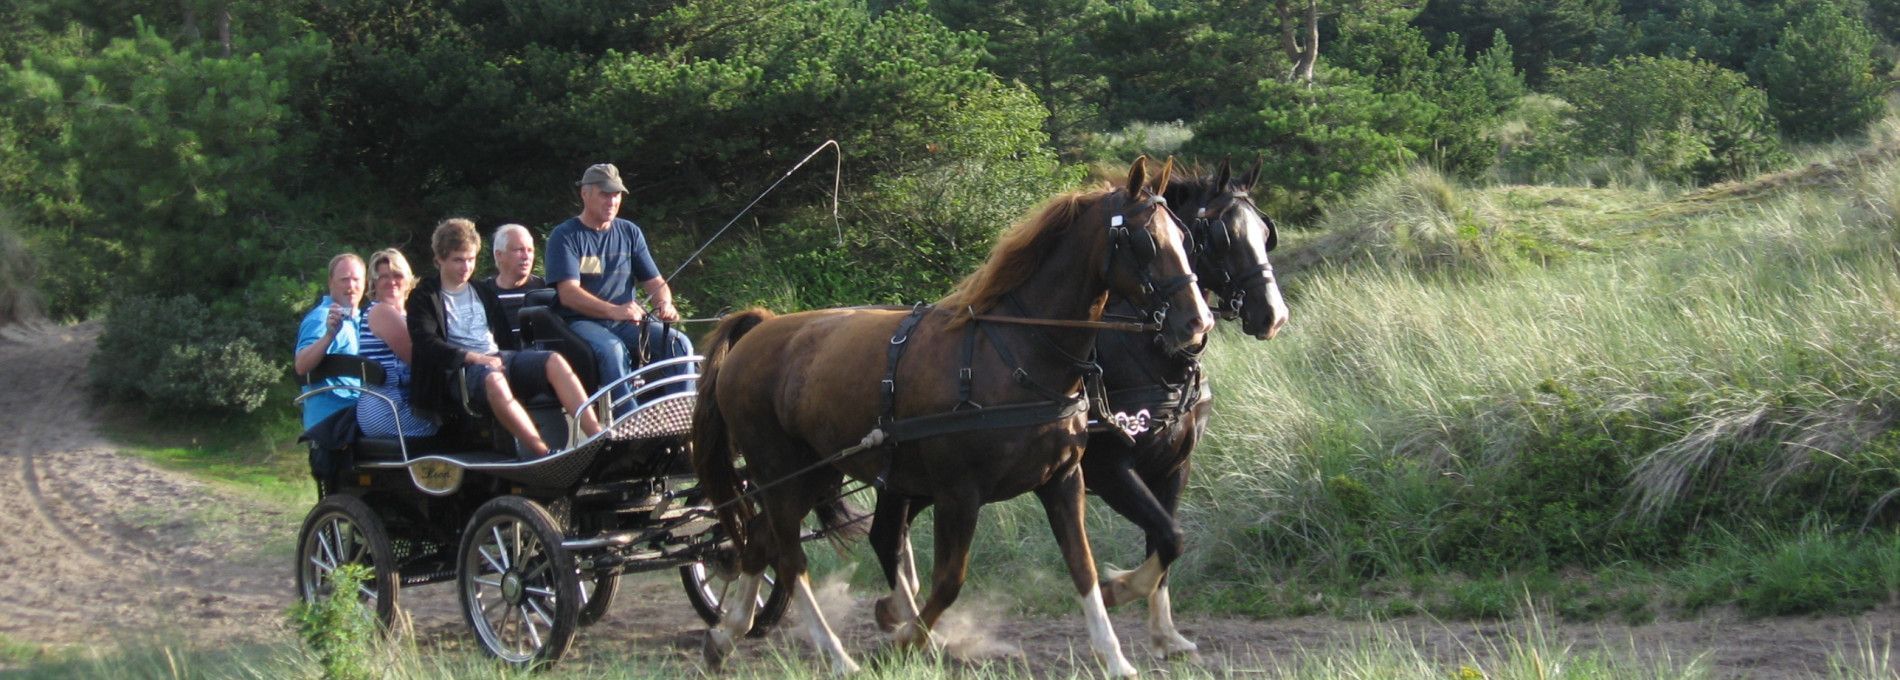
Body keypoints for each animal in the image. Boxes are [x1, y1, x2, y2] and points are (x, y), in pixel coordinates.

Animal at [691, 155, 1208, 676]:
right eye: (1145, 240)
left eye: (1186, 239)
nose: (1197, 322)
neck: (1012, 352)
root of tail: (760, 330)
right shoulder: (959, 493)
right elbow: (948, 581)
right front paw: (904, 640)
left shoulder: (1063, 479)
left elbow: (1083, 565)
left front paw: (1114, 650)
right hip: (783, 472)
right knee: (790, 557)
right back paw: (836, 654)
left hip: (819, 473)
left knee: (761, 540)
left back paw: (725, 634)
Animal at [866, 157, 1292, 657]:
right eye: (1221, 234)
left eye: (1264, 232)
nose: (1274, 315)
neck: (1146, 352)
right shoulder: (1109, 471)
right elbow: (1169, 537)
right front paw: (1116, 589)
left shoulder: (1174, 467)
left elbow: (1163, 542)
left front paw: (1164, 632)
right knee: (885, 533)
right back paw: (903, 613)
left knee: (890, 532)